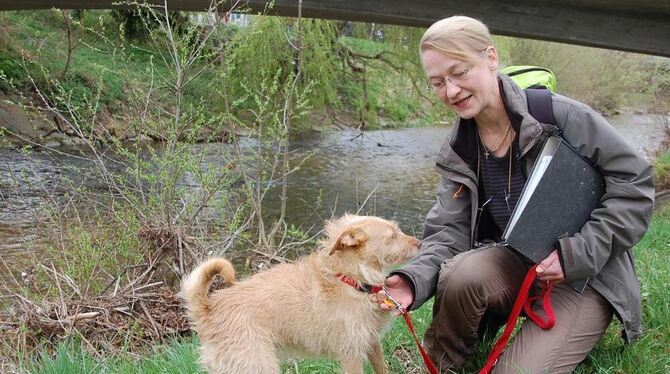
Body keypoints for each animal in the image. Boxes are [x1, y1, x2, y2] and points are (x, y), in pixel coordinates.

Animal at [178, 213, 420, 374]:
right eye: (392, 236)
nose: (420, 242)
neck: (351, 278)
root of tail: (209, 309)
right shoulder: (350, 353)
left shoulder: (371, 343)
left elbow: (382, 368)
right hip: (256, 365)